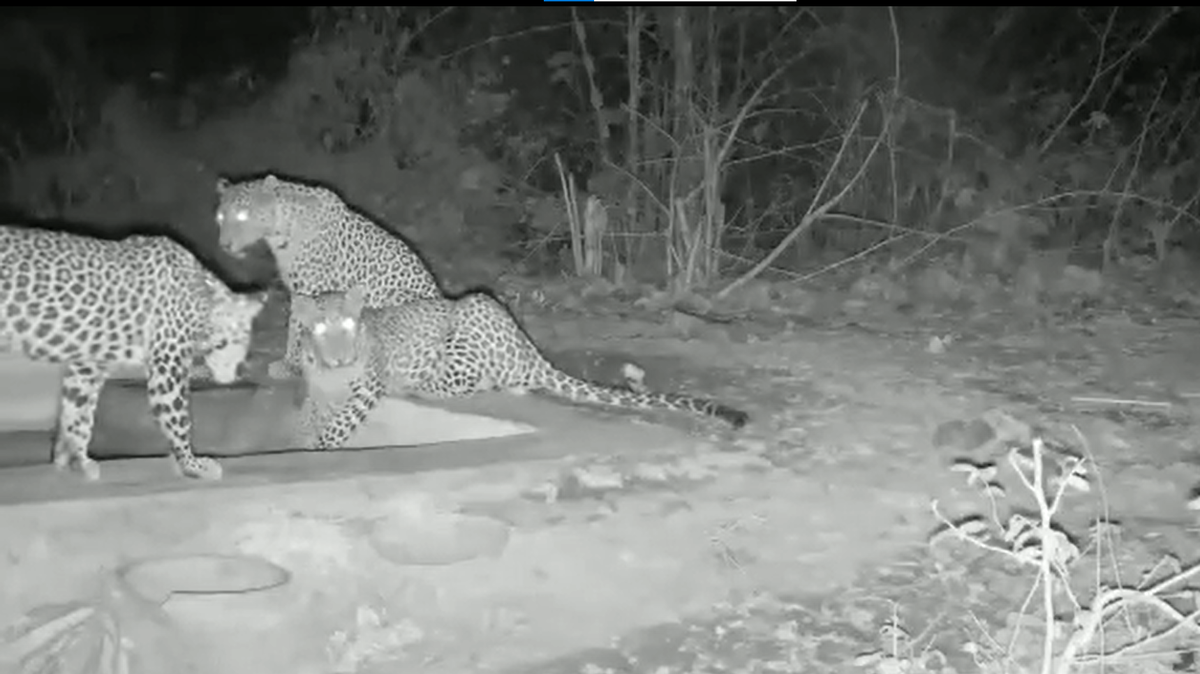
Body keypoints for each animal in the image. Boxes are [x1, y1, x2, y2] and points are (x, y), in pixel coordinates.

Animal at [0, 224, 267, 481]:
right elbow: (179, 419)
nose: (233, 376)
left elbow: (77, 412)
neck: (203, 297)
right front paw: (194, 465)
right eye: (239, 342)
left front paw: (73, 461)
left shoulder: (88, 365)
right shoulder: (167, 366)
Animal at [213, 174, 442, 381]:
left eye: (243, 216)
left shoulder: (310, 289)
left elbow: (298, 328)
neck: (280, 231)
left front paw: (291, 366)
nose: (224, 245)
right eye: (221, 218)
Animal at [288, 286, 749, 451]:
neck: (330, 372)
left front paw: (319, 446)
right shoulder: (316, 389)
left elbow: (339, 423)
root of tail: (530, 349)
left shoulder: (366, 388)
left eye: (350, 326)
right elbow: (308, 412)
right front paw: (300, 431)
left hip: (472, 313)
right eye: (321, 329)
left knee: (461, 381)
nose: (340, 357)